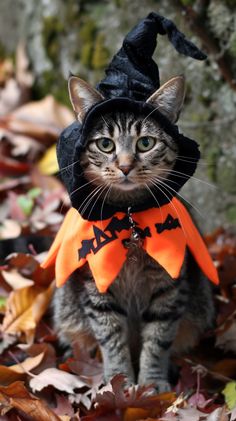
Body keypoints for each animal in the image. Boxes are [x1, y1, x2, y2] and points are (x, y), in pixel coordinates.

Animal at [53, 74, 216, 390]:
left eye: (146, 143)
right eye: (105, 144)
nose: (126, 166)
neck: (129, 217)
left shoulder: (169, 288)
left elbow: (158, 340)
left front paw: (152, 385)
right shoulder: (97, 289)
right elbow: (111, 339)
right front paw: (120, 382)